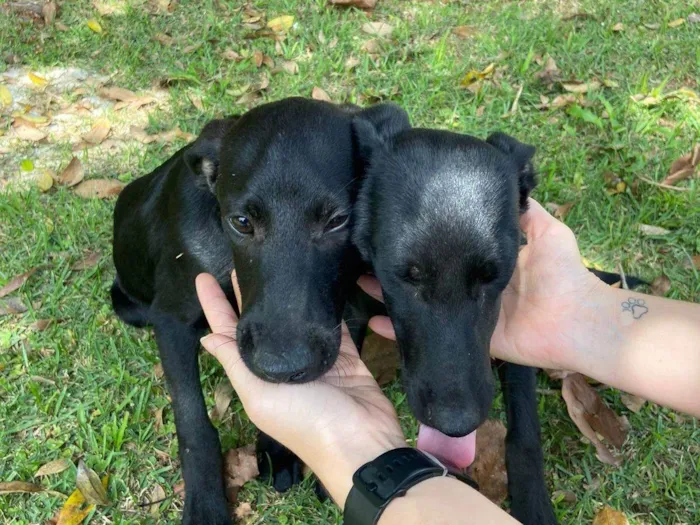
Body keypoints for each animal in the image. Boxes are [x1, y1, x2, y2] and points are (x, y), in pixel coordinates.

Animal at [112, 97, 408, 520]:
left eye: (339, 220)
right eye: (241, 222)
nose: (282, 367)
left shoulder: (350, 304)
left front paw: (277, 447)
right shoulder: (171, 321)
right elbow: (193, 423)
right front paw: (205, 504)